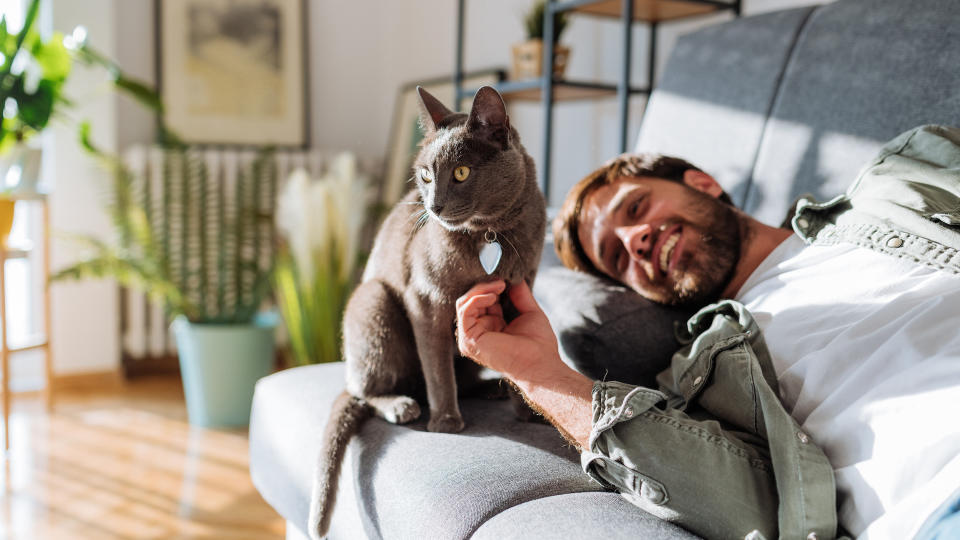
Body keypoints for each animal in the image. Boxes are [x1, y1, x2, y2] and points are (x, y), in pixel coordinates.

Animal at [310, 86, 548, 536]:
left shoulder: (520, 287)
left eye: (461, 172)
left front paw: (526, 410)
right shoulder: (426, 299)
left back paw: (487, 388)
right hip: (373, 301)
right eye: (424, 175)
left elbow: (519, 360)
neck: (490, 233)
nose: (434, 207)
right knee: (363, 389)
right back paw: (402, 405)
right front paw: (446, 421)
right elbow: (437, 368)